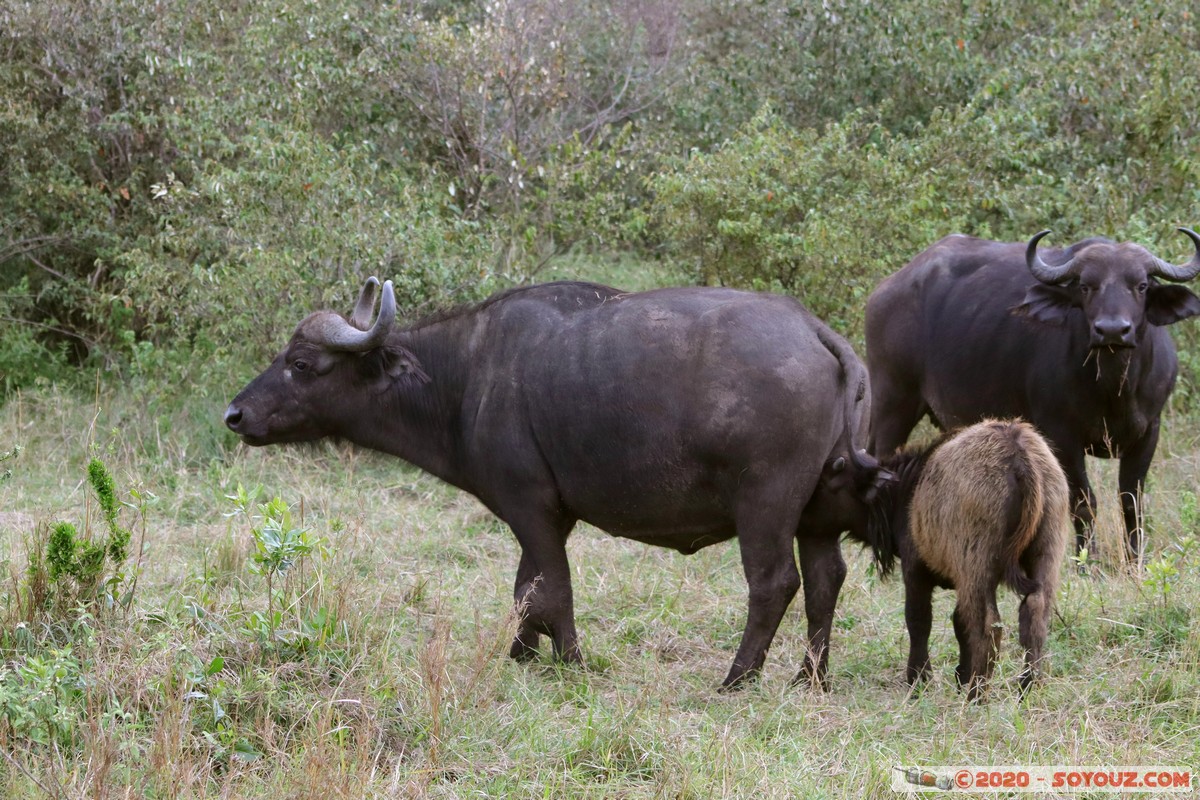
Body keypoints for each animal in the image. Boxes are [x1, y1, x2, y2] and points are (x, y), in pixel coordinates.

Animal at [226, 278, 883, 686]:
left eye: (301, 364)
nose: (236, 414)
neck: (467, 375)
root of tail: (814, 329)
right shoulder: (541, 520)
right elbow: (526, 588)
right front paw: (521, 654)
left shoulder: (532, 509)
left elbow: (554, 590)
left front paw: (569, 661)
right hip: (817, 514)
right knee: (826, 580)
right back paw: (810, 677)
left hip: (764, 505)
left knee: (774, 583)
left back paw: (738, 678)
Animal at [868, 227, 1195, 561]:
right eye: (1086, 286)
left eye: (1141, 286)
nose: (1113, 330)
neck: (1113, 387)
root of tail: (885, 292)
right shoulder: (1062, 436)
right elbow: (1083, 503)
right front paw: (1087, 562)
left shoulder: (1148, 432)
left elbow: (1131, 502)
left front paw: (1134, 562)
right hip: (892, 404)